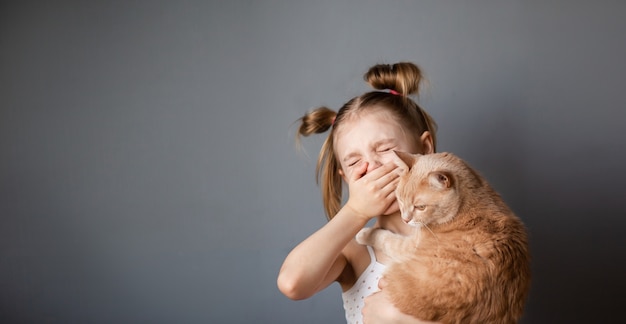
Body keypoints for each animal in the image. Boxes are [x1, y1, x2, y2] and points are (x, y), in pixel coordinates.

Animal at [356, 153, 528, 324]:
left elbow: (385, 238)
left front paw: (365, 234)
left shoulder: (409, 246)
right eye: (400, 199)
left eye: (420, 207)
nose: (405, 219)